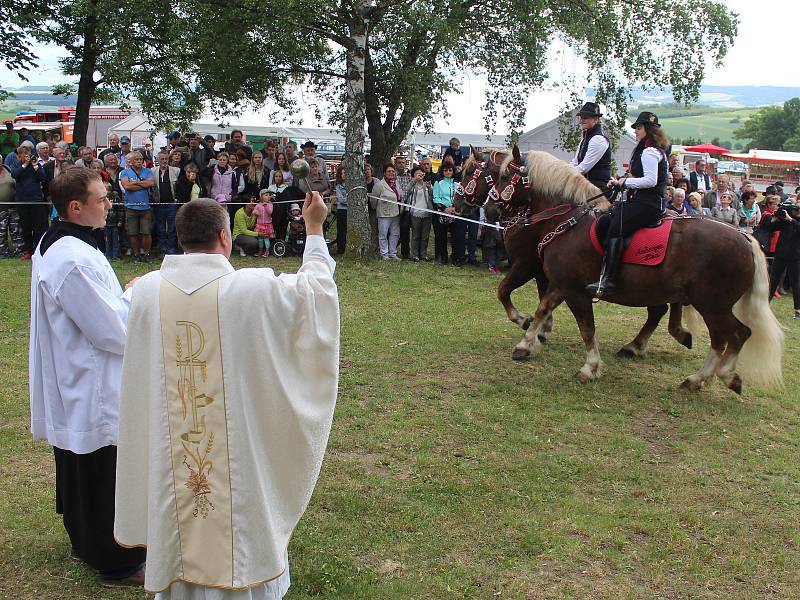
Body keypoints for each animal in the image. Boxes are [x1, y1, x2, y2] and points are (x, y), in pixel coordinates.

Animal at [456, 152, 692, 358]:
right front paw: (541, 329)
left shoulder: (527, 265)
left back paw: (640, 344)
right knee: (664, 307)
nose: (458, 204)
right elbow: (543, 297)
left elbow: (504, 291)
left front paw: (527, 323)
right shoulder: (546, 271)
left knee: (661, 308)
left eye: (470, 173)